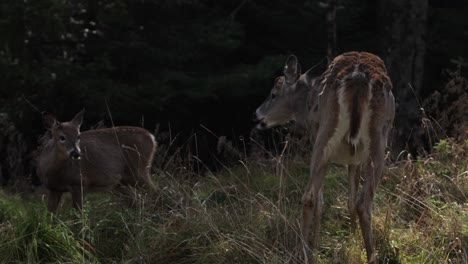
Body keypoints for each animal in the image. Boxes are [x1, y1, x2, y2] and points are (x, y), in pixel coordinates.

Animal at [254, 51, 394, 262]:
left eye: (273, 94)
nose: (257, 115)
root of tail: (358, 78)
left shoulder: (338, 150)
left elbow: (334, 200)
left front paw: (326, 243)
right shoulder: (354, 158)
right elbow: (346, 199)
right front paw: (348, 238)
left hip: (326, 138)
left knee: (312, 197)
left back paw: (304, 252)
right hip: (369, 143)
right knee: (359, 202)